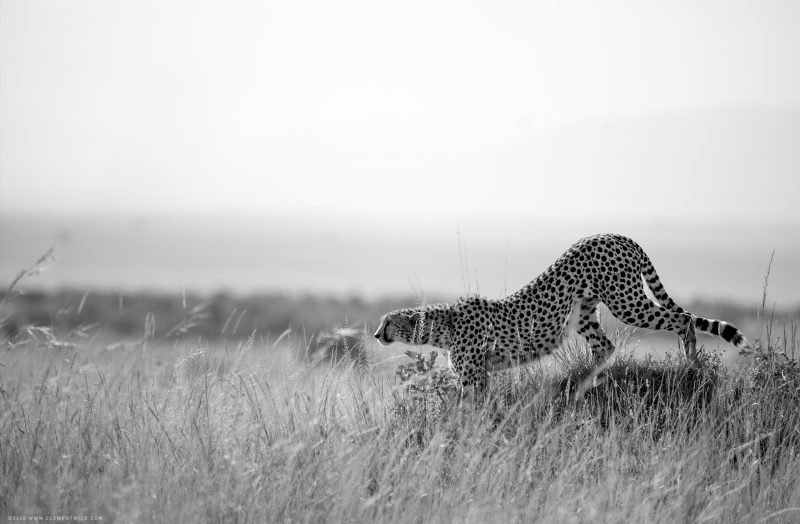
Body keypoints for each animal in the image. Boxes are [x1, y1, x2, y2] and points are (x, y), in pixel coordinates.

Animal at [376, 233, 752, 388]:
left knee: (683, 318)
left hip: (627, 301)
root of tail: (615, 234)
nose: (377, 334)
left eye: (388, 322)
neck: (444, 325)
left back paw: (691, 361)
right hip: (585, 312)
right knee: (605, 346)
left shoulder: (473, 376)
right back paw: (587, 378)